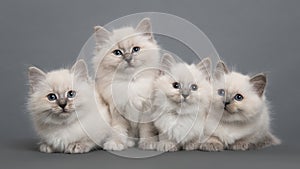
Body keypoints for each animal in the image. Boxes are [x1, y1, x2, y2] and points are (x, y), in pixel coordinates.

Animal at [92, 18, 161, 151]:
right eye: (117, 52)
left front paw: (148, 143)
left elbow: (147, 130)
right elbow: (118, 130)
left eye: (136, 49)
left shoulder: (146, 111)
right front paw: (116, 143)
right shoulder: (116, 111)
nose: (128, 58)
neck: (130, 82)